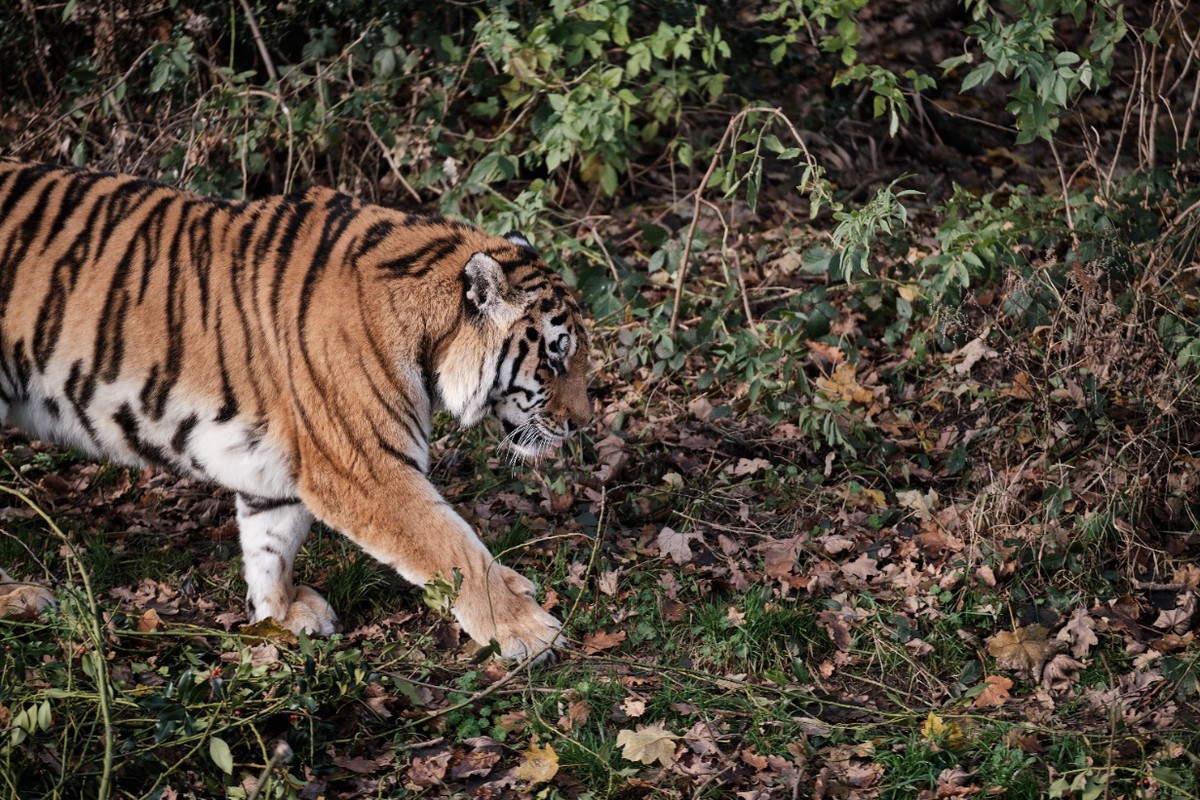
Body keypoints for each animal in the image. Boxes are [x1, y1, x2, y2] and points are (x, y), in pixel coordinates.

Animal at [0, 160, 590, 661]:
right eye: (556, 356)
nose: (582, 422)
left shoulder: (278, 460)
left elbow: (271, 541)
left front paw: (280, 615)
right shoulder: (367, 468)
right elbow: (454, 548)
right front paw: (525, 628)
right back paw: (23, 597)